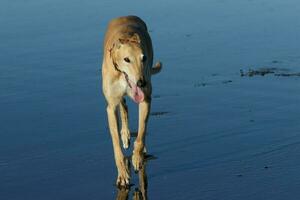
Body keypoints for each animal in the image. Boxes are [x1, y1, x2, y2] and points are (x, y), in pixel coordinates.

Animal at [101, 16, 162, 188]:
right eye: (126, 59)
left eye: (144, 58)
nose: (142, 83)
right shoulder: (111, 107)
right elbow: (116, 146)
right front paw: (122, 175)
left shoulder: (146, 100)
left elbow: (141, 134)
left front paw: (137, 157)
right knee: (124, 106)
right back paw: (125, 134)